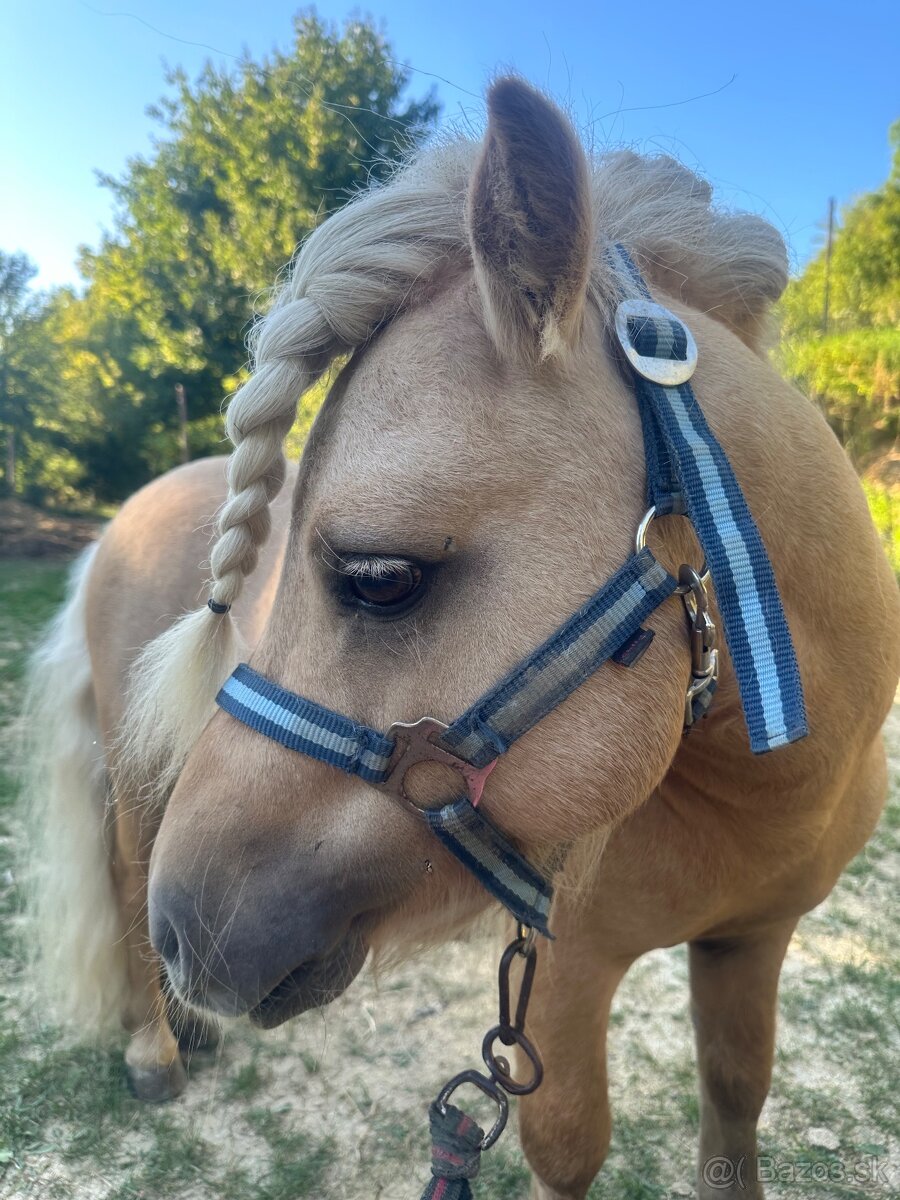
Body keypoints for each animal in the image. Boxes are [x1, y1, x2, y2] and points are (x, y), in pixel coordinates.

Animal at [26, 78, 899, 1200]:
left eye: (380, 578)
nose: (194, 931)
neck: (771, 793)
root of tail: (115, 525)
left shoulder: (752, 942)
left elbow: (736, 1099)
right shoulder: (566, 978)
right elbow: (567, 1146)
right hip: (137, 786)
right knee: (123, 877)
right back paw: (155, 1046)